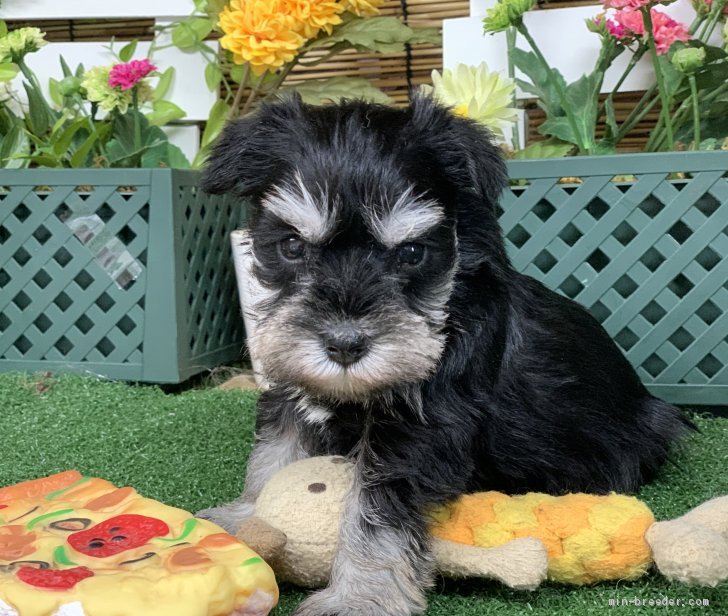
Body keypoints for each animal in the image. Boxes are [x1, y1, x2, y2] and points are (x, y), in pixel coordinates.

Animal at [198, 96, 688, 616]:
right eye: (292, 245)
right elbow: (273, 454)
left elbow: (374, 512)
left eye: (412, 252)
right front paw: (243, 518)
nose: (344, 344)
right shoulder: (293, 385)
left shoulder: (420, 432)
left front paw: (360, 597)